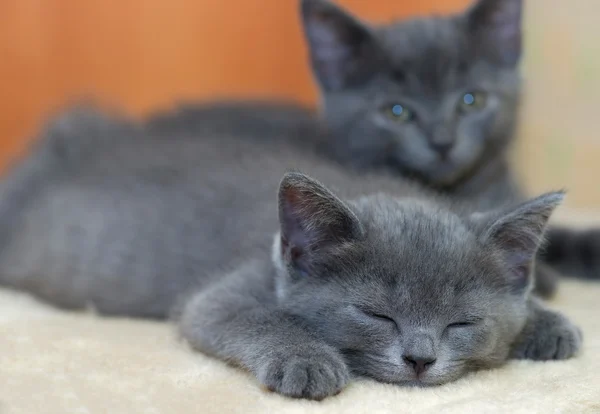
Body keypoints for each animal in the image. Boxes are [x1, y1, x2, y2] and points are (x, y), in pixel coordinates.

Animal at [0, 109, 580, 398]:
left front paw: (547, 322)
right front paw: (306, 360)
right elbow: (248, 316)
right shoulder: (225, 292)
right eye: (376, 314)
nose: (420, 359)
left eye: (462, 322)